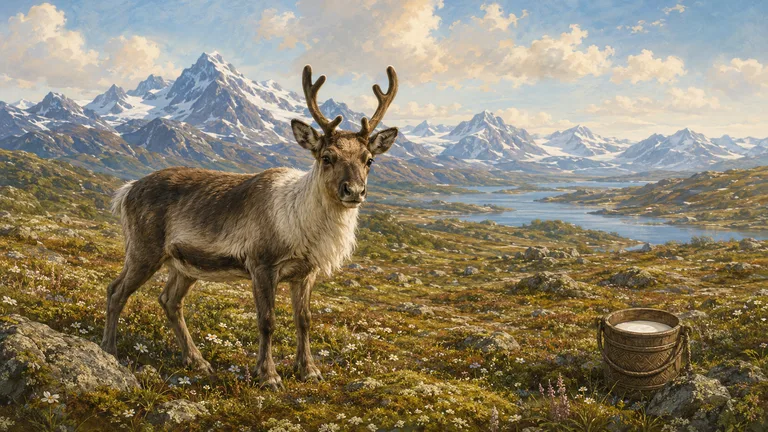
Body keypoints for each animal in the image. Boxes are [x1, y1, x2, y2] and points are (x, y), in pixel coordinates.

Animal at [100, 65, 399, 390]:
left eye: (369, 160)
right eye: (327, 157)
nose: (354, 191)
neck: (302, 223)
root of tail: (127, 190)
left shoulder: (306, 272)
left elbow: (304, 320)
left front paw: (309, 370)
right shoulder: (262, 265)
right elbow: (267, 321)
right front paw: (268, 375)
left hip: (184, 264)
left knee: (169, 301)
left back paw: (197, 360)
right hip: (144, 250)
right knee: (116, 291)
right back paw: (110, 350)